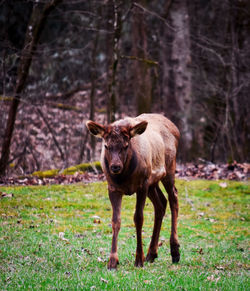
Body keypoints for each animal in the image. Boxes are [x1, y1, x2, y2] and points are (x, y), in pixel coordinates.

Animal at [86, 113, 180, 270]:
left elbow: (139, 218)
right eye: (106, 146)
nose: (115, 167)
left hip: (169, 168)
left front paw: (138, 259)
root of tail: (175, 128)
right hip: (152, 182)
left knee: (174, 198)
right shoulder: (113, 188)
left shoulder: (142, 185)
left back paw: (175, 251)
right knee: (161, 204)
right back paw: (151, 253)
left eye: (125, 146)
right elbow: (116, 220)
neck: (124, 177)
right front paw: (112, 261)